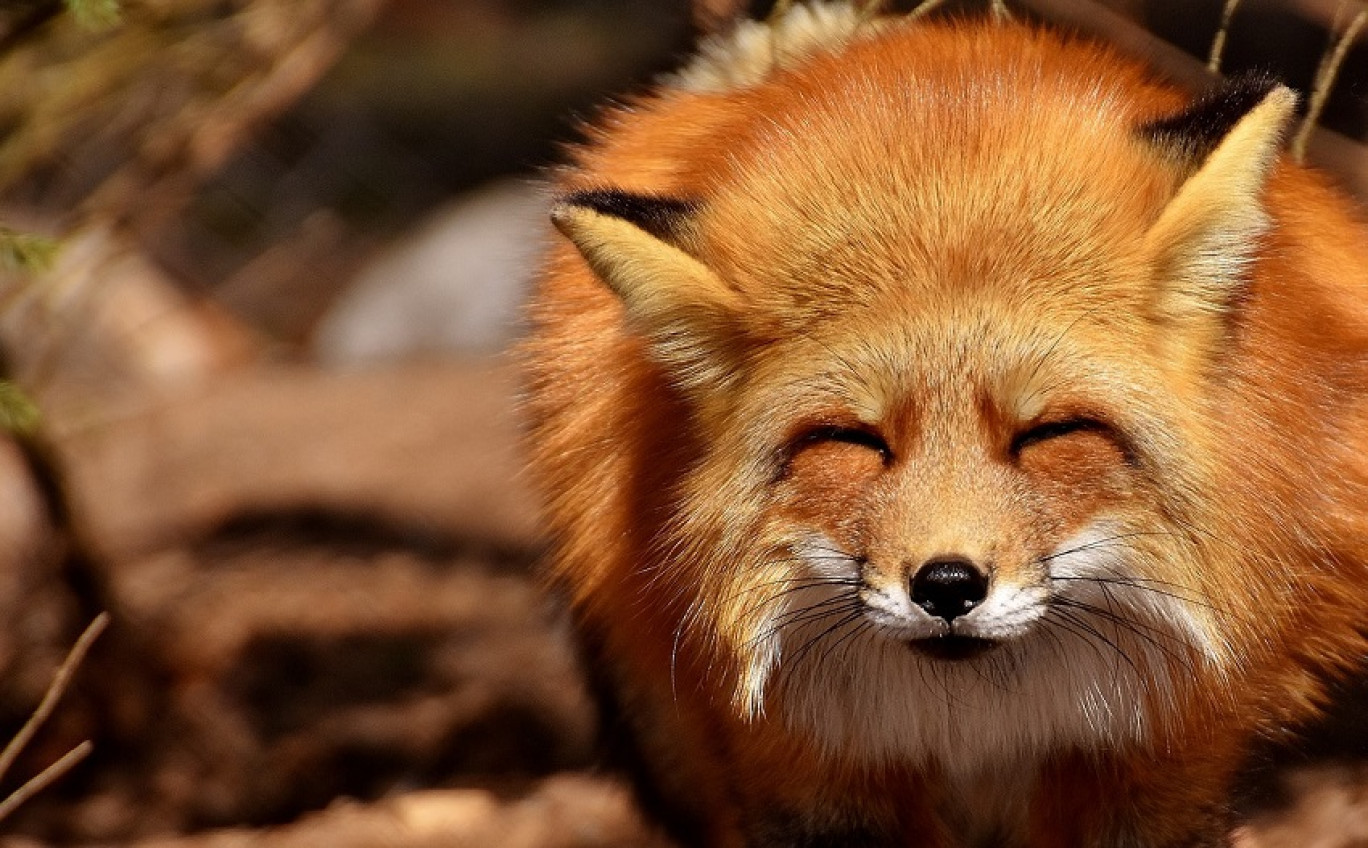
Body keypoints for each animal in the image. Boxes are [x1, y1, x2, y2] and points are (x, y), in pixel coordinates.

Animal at [517, 3, 1368, 842]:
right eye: (854, 441)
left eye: (1048, 434)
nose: (948, 587)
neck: (981, 724)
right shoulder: (800, 766)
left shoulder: (1168, 758)